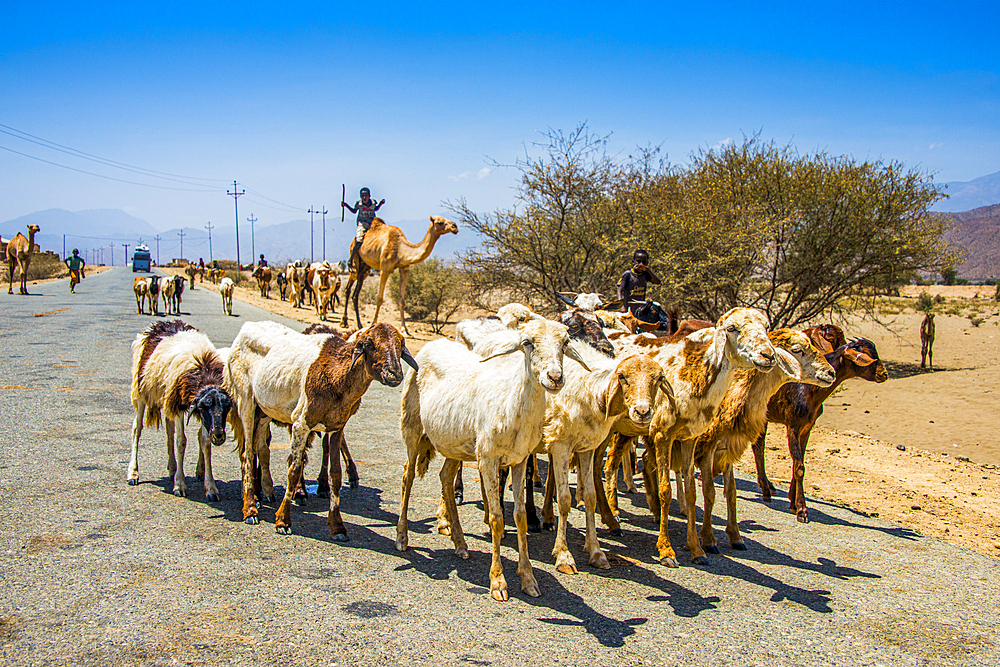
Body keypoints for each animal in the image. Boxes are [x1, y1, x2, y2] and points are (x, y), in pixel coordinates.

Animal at [227, 320, 414, 536]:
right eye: (368, 344)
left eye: (400, 344)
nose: (394, 374)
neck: (337, 373)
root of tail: (248, 326)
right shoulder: (300, 423)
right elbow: (294, 469)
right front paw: (283, 521)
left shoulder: (336, 427)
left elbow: (335, 474)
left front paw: (337, 526)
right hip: (245, 400)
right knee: (247, 454)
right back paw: (250, 508)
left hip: (265, 409)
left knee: (260, 447)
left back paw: (265, 491)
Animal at [394, 318, 584, 600]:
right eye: (527, 343)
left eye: (565, 343)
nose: (555, 378)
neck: (511, 401)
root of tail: (432, 344)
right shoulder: (487, 458)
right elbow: (496, 517)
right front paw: (498, 581)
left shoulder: (519, 459)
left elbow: (520, 517)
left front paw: (528, 578)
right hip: (412, 424)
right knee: (407, 476)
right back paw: (402, 538)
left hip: (456, 443)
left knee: (445, 477)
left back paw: (460, 544)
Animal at [752, 340, 888, 520]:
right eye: (868, 357)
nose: (884, 374)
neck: (809, 389)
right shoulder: (793, 425)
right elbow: (799, 467)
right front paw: (802, 510)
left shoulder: (807, 428)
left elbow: (798, 463)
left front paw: (793, 503)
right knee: (758, 447)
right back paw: (766, 489)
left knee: (758, 447)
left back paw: (766, 488)